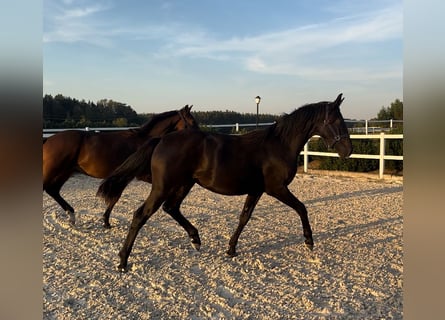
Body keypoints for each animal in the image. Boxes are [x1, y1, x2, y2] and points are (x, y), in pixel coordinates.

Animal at [42, 104, 197, 226]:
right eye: (191, 121)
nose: (198, 136)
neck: (141, 140)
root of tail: (48, 139)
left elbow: (115, 198)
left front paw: (106, 221)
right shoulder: (139, 175)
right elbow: (116, 197)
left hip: (65, 172)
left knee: (52, 190)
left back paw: (72, 216)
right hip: (55, 170)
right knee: (48, 188)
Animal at [96, 94, 350, 272]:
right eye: (335, 119)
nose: (347, 150)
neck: (278, 145)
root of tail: (161, 140)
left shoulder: (256, 190)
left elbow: (244, 218)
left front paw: (231, 249)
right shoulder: (276, 188)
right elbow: (302, 208)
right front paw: (309, 241)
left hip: (184, 184)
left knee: (171, 208)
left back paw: (195, 239)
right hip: (163, 187)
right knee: (141, 215)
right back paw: (123, 261)